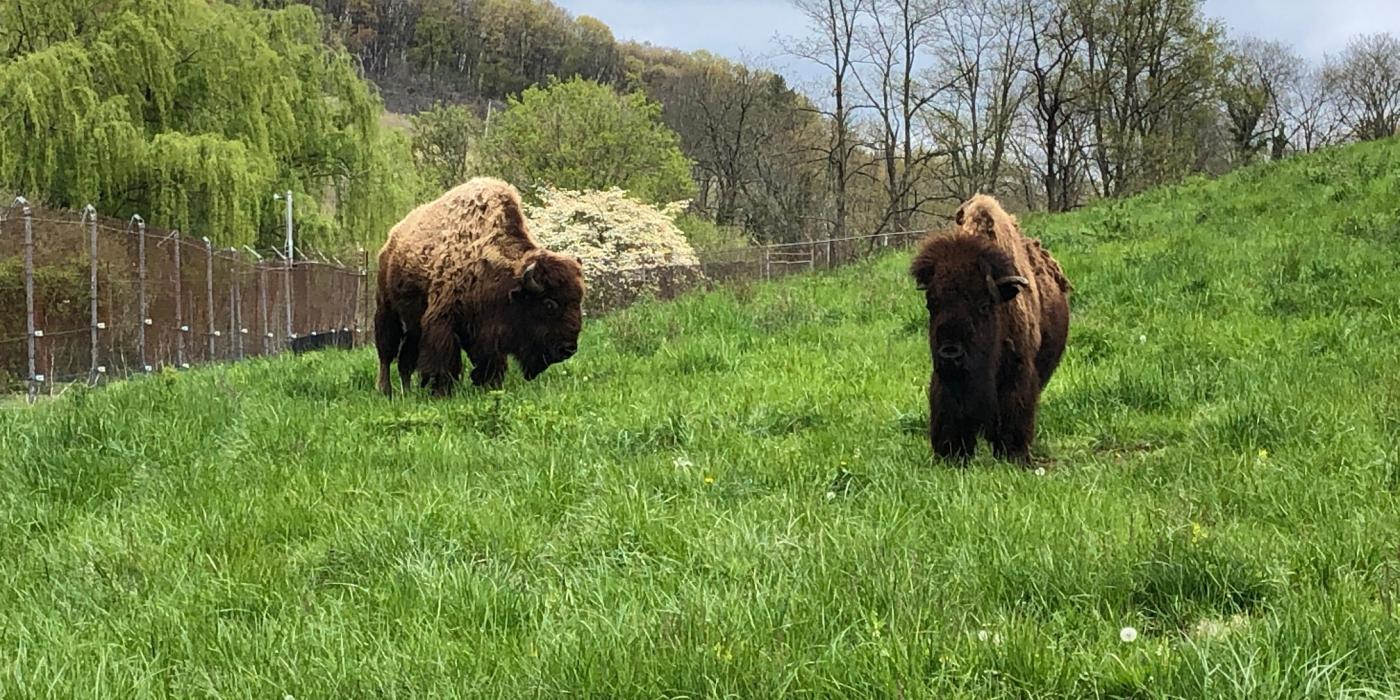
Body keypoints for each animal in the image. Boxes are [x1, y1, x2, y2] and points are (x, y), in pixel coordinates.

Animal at [372, 177, 585, 397]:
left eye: (578, 301)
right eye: (549, 304)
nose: (568, 349)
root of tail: (391, 239)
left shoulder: (486, 329)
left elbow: (490, 360)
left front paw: (489, 385)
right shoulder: (443, 319)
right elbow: (444, 358)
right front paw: (442, 391)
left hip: (414, 324)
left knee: (406, 360)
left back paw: (407, 393)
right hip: (387, 309)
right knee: (386, 352)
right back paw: (385, 390)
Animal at [907, 194, 1069, 464]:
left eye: (984, 305)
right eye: (932, 304)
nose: (950, 352)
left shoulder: (1017, 373)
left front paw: (1014, 456)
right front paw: (952, 457)